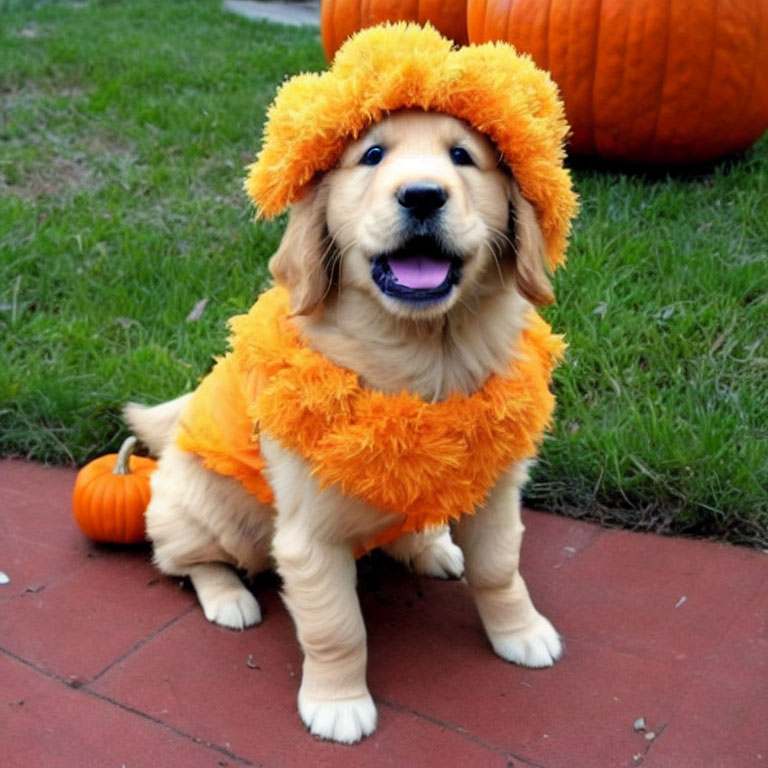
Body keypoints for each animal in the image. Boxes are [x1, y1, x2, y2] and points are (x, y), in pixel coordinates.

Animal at [124, 109, 564, 744]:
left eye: (462, 157)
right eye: (373, 155)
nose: (422, 195)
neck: (427, 355)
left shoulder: (497, 491)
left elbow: (499, 569)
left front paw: (520, 632)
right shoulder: (310, 536)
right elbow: (336, 627)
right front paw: (337, 704)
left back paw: (430, 546)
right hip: (209, 513)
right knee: (184, 559)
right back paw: (229, 598)